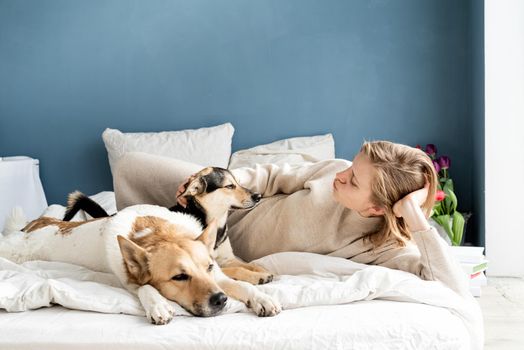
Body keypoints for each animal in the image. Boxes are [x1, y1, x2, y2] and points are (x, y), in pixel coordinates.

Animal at [1, 205, 282, 326]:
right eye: (180, 277)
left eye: (208, 268)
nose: (221, 300)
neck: (158, 233)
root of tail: (34, 224)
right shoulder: (129, 281)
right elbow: (147, 288)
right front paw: (158, 305)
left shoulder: (219, 278)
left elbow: (241, 285)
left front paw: (262, 297)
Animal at [62, 168, 274, 286]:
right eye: (229, 186)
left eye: (238, 182)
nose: (258, 196)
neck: (214, 220)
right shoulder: (214, 264)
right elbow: (239, 270)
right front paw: (258, 277)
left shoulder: (228, 258)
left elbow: (249, 264)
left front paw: (263, 271)